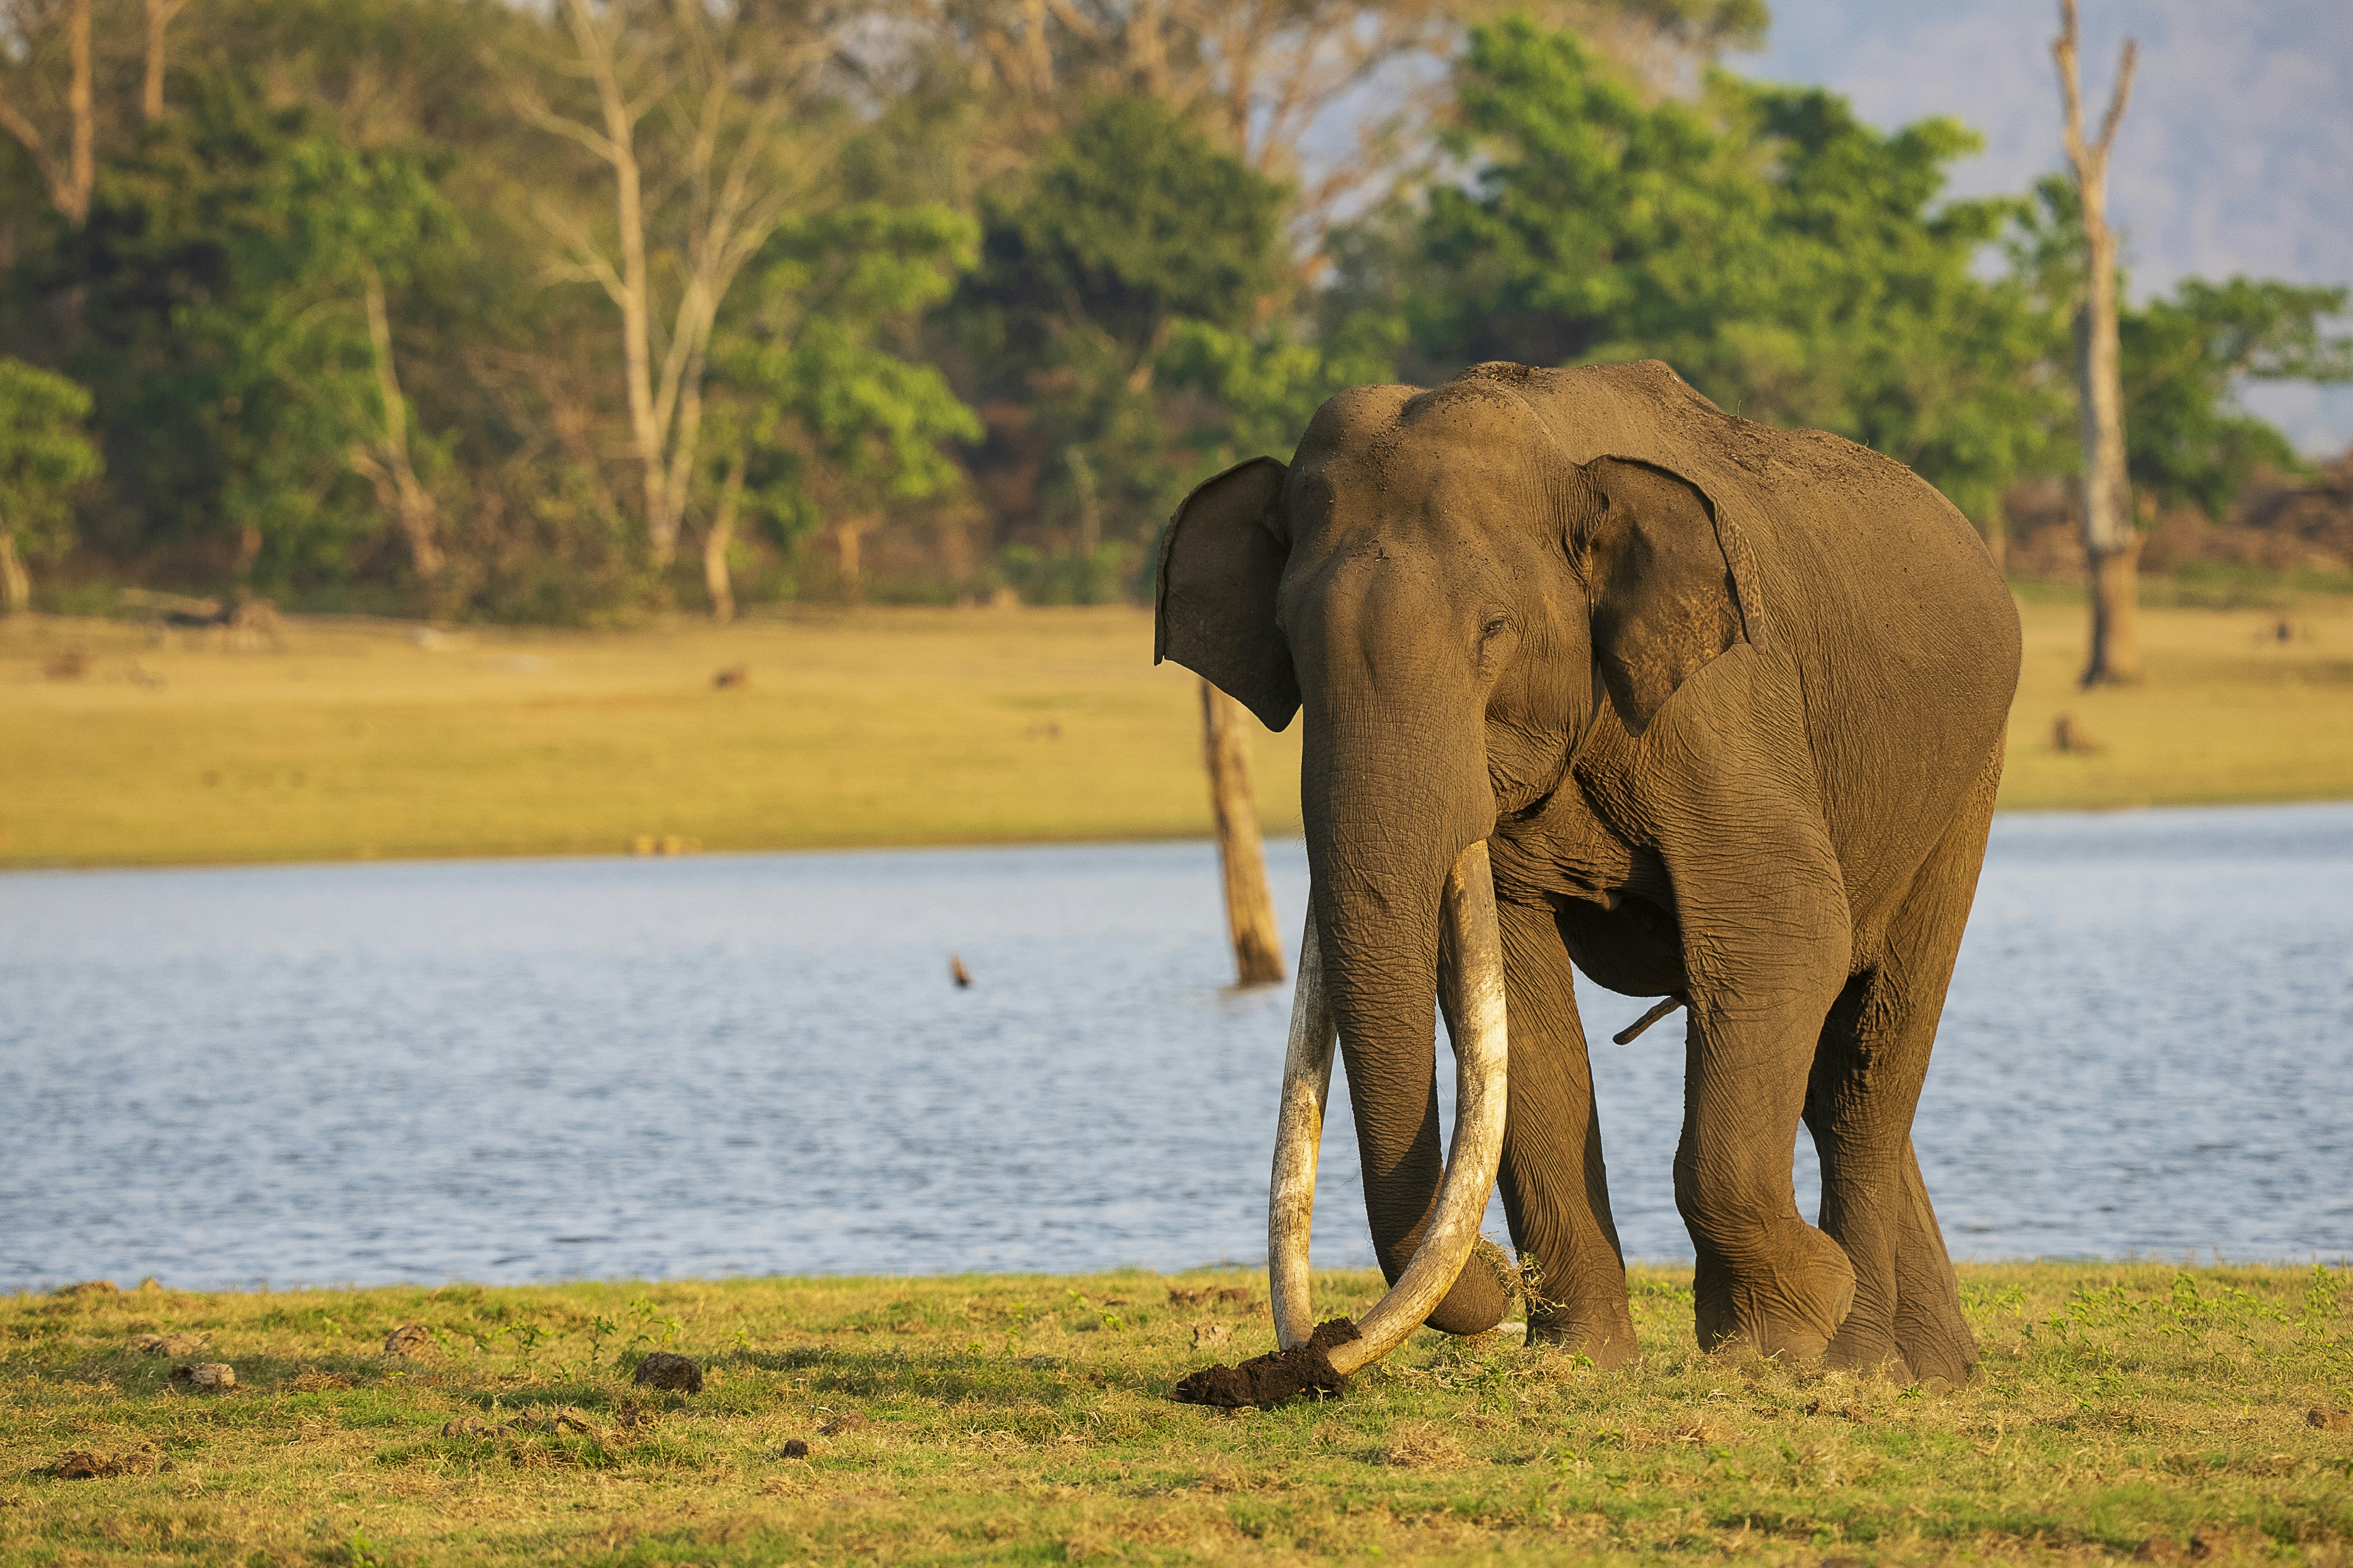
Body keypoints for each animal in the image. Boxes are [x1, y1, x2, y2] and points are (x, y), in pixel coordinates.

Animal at [1155, 359, 2020, 1387]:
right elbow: (1515, 1004)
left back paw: (1861, 1361)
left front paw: (1778, 1335)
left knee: (1865, 1062)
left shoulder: (1725, 702)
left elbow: (1785, 930)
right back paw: (1934, 1367)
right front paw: (1584, 1364)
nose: (1310, 1360)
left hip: (1967, 777)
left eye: (1494, 629)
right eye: (1289, 642)